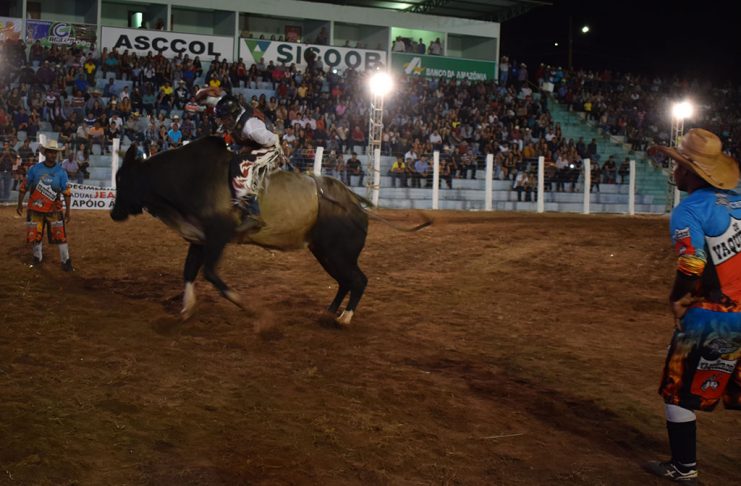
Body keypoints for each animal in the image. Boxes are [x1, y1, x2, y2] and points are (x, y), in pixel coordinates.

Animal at [110, 136, 429, 325]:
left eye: (121, 178)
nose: (114, 213)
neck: (187, 177)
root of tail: (355, 203)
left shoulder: (217, 237)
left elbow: (209, 273)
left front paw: (245, 305)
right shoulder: (199, 238)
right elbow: (189, 271)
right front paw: (187, 307)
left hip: (339, 253)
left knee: (358, 280)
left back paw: (344, 317)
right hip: (325, 253)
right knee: (344, 282)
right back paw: (330, 310)